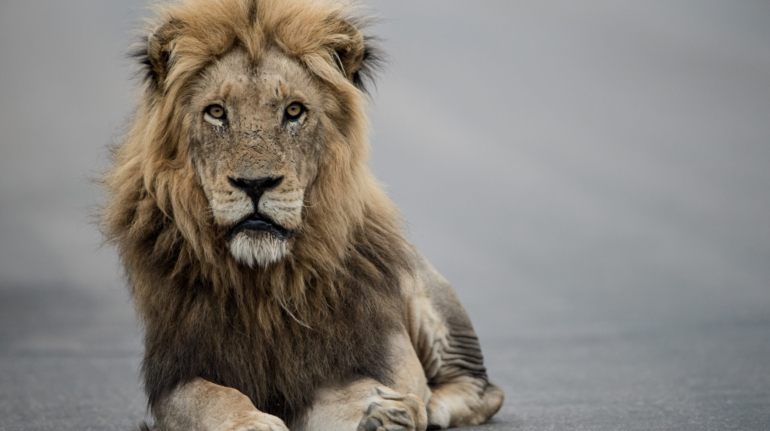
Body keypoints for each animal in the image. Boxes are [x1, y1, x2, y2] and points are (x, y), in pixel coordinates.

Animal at [102, 0, 500, 431]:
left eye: (293, 111)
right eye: (216, 112)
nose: (255, 184)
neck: (262, 283)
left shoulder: (354, 359)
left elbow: (343, 395)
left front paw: (382, 412)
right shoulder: (179, 371)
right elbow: (210, 398)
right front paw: (251, 422)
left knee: (483, 389)